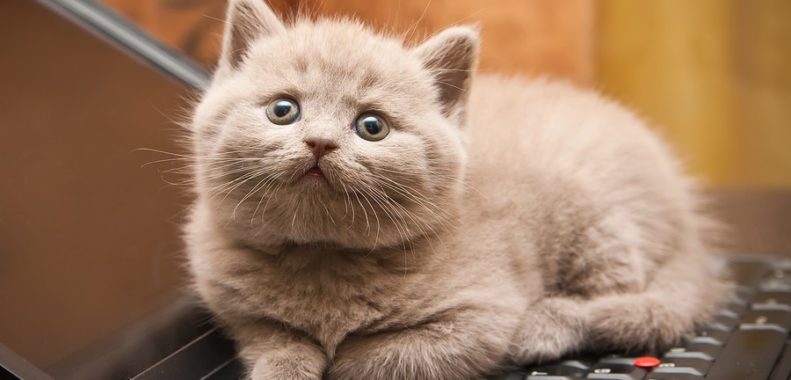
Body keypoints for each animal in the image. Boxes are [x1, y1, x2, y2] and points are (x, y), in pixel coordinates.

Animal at [184, 1, 724, 378]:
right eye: (283, 110)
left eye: (372, 126)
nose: (320, 142)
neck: (321, 258)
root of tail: (690, 223)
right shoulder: (239, 312)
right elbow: (275, 345)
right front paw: (290, 364)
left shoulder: (481, 318)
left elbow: (379, 357)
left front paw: (341, 358)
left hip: (601, 223)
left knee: (624, 306)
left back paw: (546, 326)